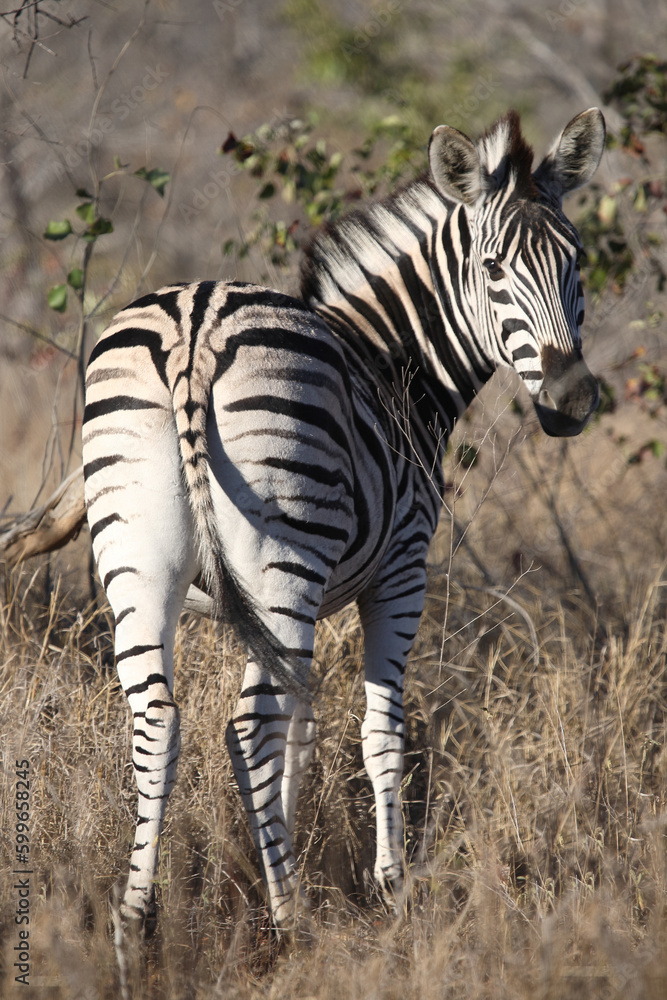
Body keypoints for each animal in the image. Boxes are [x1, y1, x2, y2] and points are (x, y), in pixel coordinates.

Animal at [82, 108, 605, 933]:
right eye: (492, 269)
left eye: (574, 262)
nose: (572, 400)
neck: (393, 362)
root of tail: (194, 328)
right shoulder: (399, 570)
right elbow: (379, 731)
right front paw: (392, 884)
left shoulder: (300, 605)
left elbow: (301, 728)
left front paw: (278, 845)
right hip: (282, 558)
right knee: (246, 729)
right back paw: (289, 914)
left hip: (138, 561)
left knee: (159, 720)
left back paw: (138, 919)